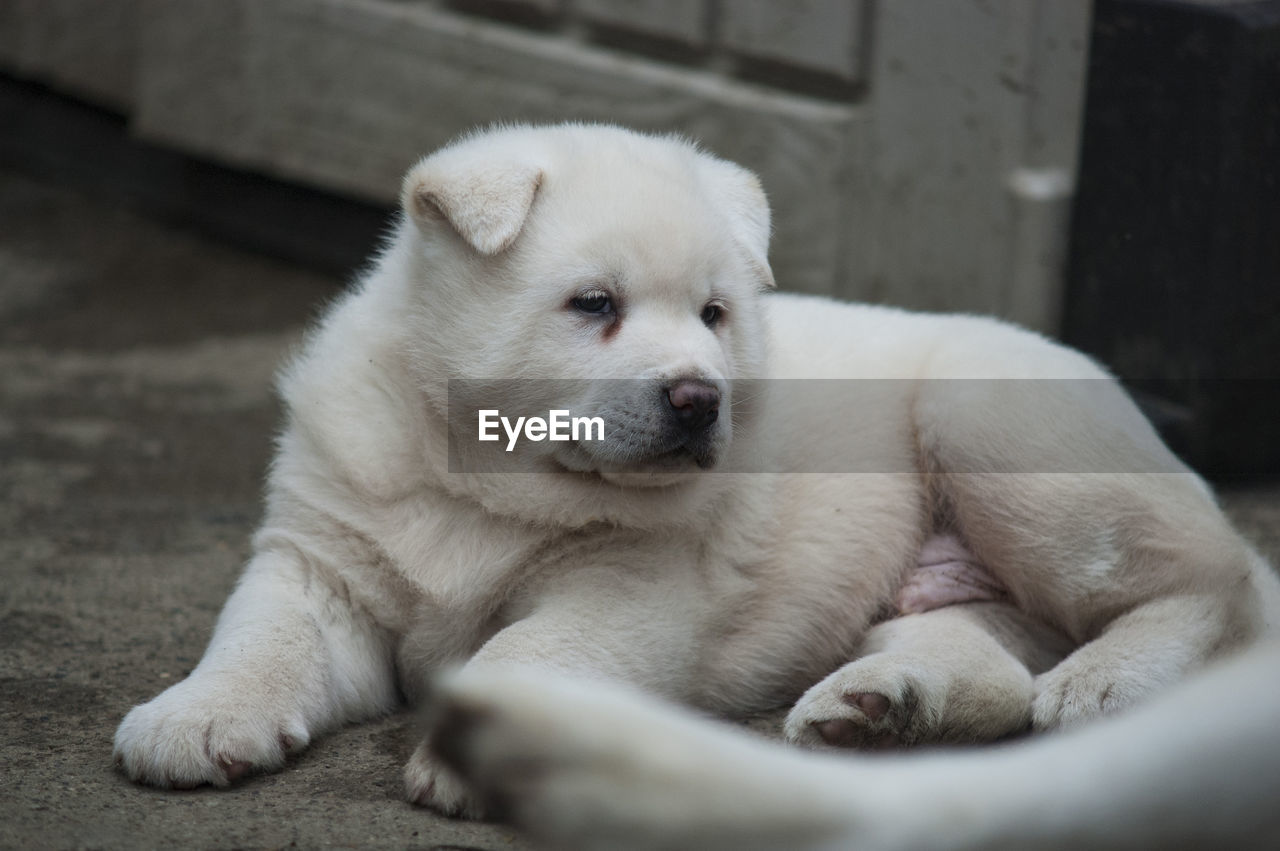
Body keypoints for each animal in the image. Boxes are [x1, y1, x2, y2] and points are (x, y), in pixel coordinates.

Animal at [115, 120, 1280, 819]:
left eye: (717, 313)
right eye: (593, 303)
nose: (697, 396)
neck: (489, 484)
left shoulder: (631, 589)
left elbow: (529, 650)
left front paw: (489, 749)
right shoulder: (323, 557)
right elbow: (261, 634)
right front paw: (195, 716)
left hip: (1005, 434)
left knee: (1210, 585)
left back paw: (1100, 679)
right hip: (955, 570)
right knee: (987, 659)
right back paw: (875, 706)